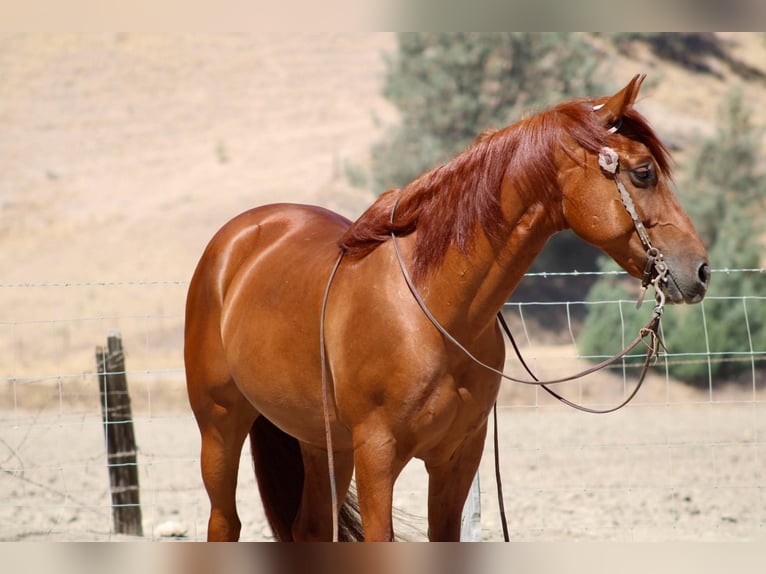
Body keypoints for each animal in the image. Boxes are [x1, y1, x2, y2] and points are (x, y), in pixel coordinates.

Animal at [184, 75, 710, 541]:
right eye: (643, 172)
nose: (701, 270)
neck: (432, 312)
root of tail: (234, 242)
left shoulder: (457, 458)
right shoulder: (377, 456)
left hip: (319, 444)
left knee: (309, 529)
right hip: (221, 427)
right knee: (225, 523)